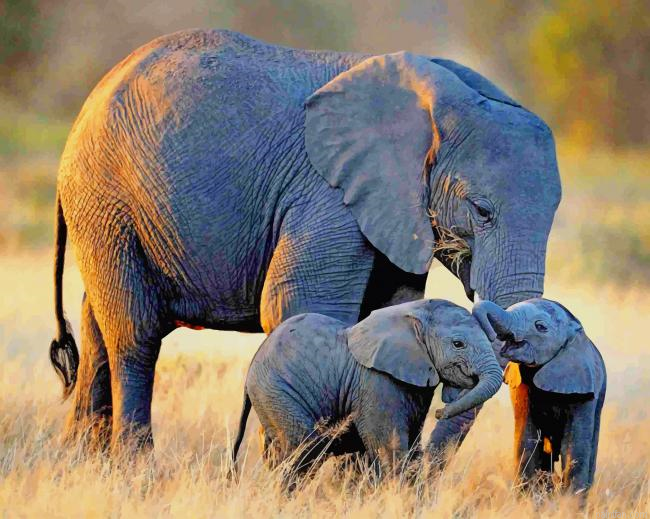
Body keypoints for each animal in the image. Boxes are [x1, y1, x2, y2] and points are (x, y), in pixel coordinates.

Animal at [49, 29, 561, 453]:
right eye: (482, 211)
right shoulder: (326, 194)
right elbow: (299, 306)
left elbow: (387, 310)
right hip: (106, 200)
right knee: (134, 335)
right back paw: (135, 468)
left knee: (96, 329)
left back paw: (81, 464)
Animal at [231, 299, 502, 485]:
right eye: (458, 344)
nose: (439, 412)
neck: (414, 313)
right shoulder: (377, 383)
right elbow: (391, 450)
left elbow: (413, 450)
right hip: (277, 392)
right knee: (304, 450)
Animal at [472, 299, 606, 493]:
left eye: (540, 327)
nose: (490, 335)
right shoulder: (521, 383)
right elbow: (526, 440)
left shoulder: (583, 388)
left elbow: (574, 447)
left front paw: (569, 501)